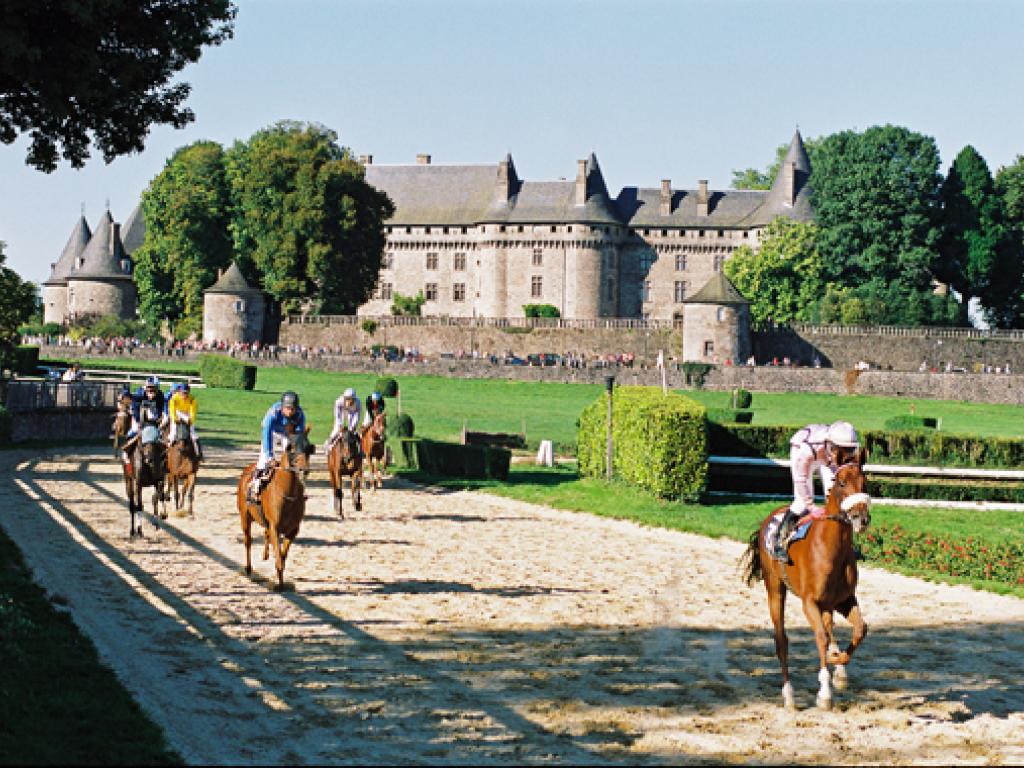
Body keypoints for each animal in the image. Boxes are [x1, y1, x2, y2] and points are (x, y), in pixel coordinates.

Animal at [236, 423, 313, 593]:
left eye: (309, 447)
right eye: (290, 447)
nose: (304, 470)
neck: (288, 493)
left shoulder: (292, 530)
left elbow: (282, 556)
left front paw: (281, 580)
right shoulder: (275, 528)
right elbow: (278, 556)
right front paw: (279, 584)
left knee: (264, 535)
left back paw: (265, 555)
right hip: (244, 517)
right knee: (247, 541)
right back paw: (248, 569)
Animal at [741, 450, 876, 716]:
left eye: (865, 482)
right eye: (841, 483)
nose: (861, 518)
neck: (832, 547)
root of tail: (768, 520)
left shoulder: (844, 599)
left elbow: (860, 629)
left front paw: (838, 663)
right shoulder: (810, 601)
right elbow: (821, 637)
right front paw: (824, 693)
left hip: (827, 604)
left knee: (830, 627)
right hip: (775, 589)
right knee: (782, 640)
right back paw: (789, 696)